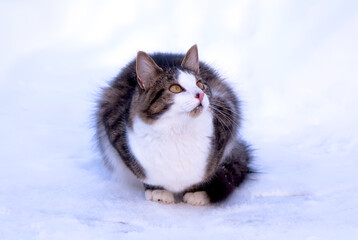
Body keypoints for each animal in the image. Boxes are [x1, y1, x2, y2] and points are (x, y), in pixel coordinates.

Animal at [95, 45, 252, 206]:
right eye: (176, 88)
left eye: (200, 84)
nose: (200, 94)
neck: (177, 130)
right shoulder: (114, 128)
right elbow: (140, 172)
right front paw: (157, 191)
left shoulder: (226, 115)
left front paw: (196, 192)